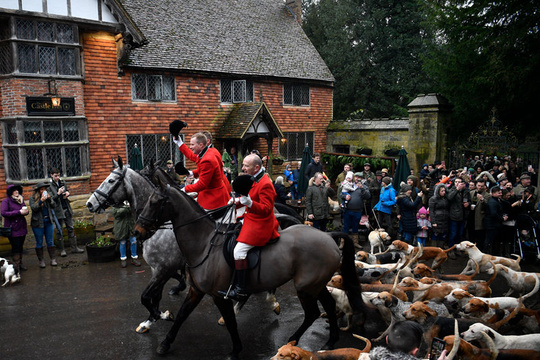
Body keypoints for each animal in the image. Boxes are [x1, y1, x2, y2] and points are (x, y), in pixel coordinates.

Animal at [134, 167, 368, 358]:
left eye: (155, 202)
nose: (137, 231)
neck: (204, 243)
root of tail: (328, 235)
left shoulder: (217, 295)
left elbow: (230, 322)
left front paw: (235, 350)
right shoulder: (196, 290)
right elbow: (182, 315)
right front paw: (165, 342)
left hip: (305, 287)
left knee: (311, 313)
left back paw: (291, 340)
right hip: (316, 285)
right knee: (328, 305)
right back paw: (330, 341)